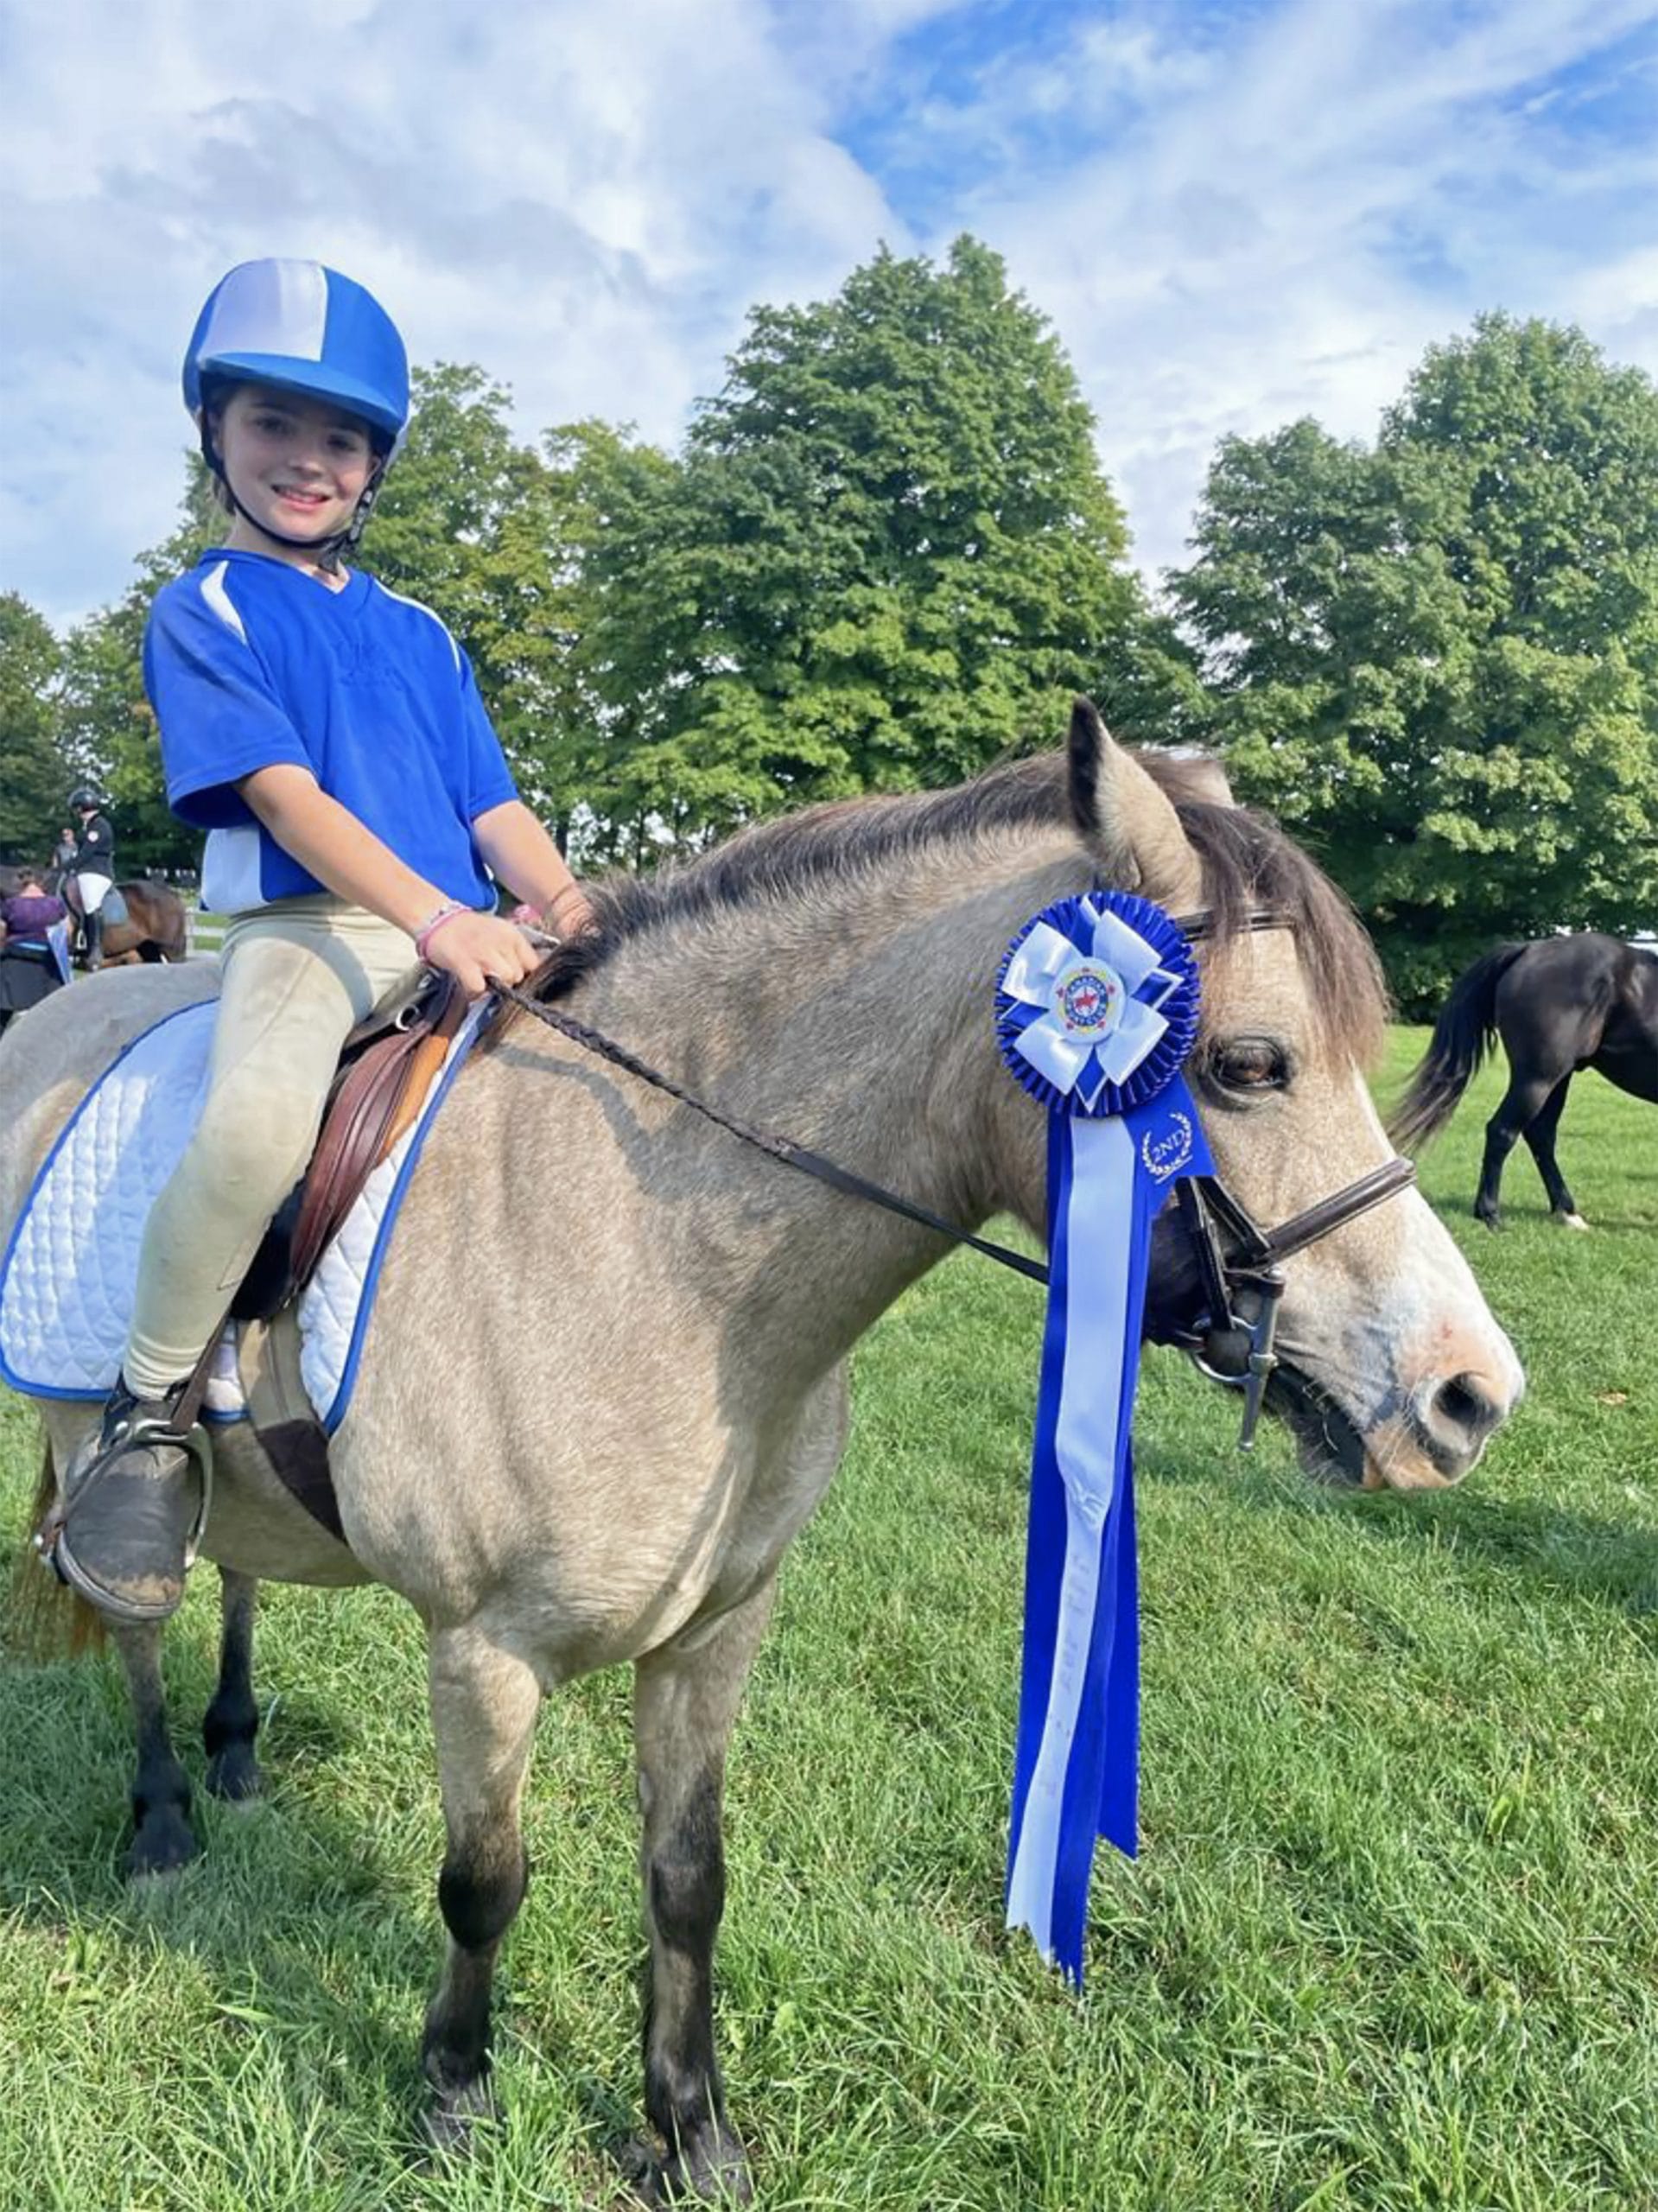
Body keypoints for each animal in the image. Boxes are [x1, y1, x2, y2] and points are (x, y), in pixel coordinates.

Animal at [1, 710, 1523, 2204]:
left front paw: (691, 2133)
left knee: (239, 1575)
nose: (1465, 1395)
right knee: (138, 1609)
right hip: (93, 1431)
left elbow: (687, 1879)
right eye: (1249, 1065)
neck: (655, 1259)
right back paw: (162, 1819)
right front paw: (454, 2096)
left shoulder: (715, 1630)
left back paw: (236, 1756)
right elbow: (482, 1883)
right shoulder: (481, 1651)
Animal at [1392, 933, 1658, 1229]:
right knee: (1502, 1132)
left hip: (1557, 1079)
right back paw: (1490, 1214)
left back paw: (1566, 1211)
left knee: (1540, 1134)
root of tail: (1529, 949)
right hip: (1537, 1079)